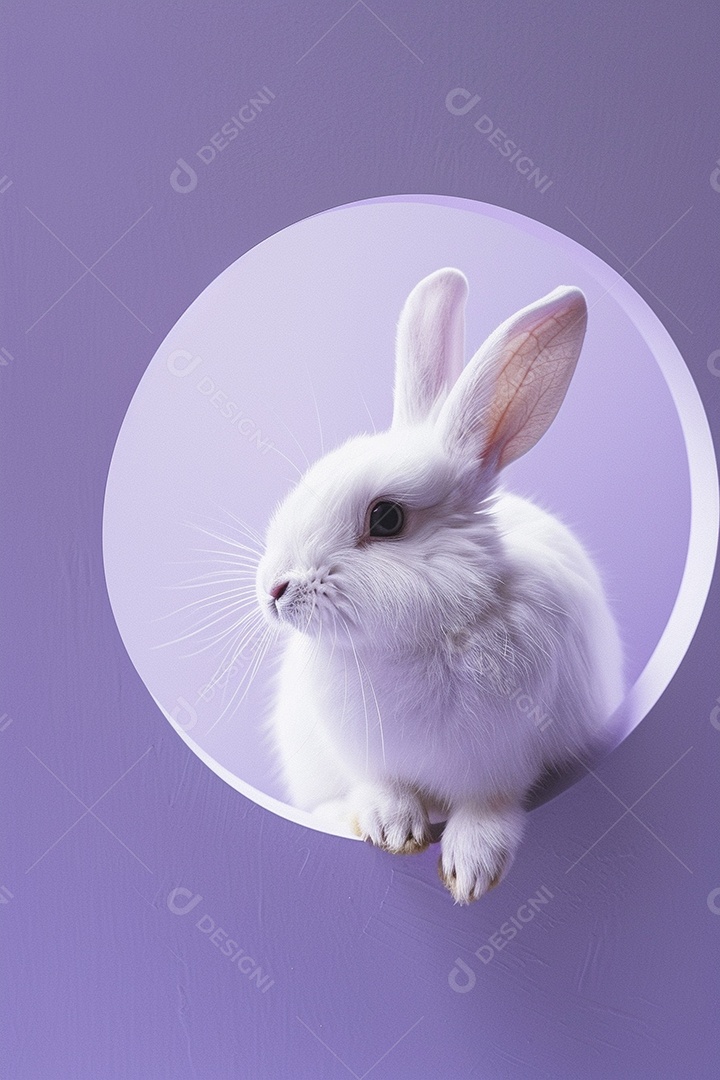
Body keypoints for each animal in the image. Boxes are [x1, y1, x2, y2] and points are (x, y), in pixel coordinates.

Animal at [255, 268, 624, 904]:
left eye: (386, 519)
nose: (274, 590)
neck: (421, 639)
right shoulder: (365, 758)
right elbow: (381, 787)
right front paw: (389, 828)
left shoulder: (505, 762)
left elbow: (490, 808)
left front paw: (470, 870)